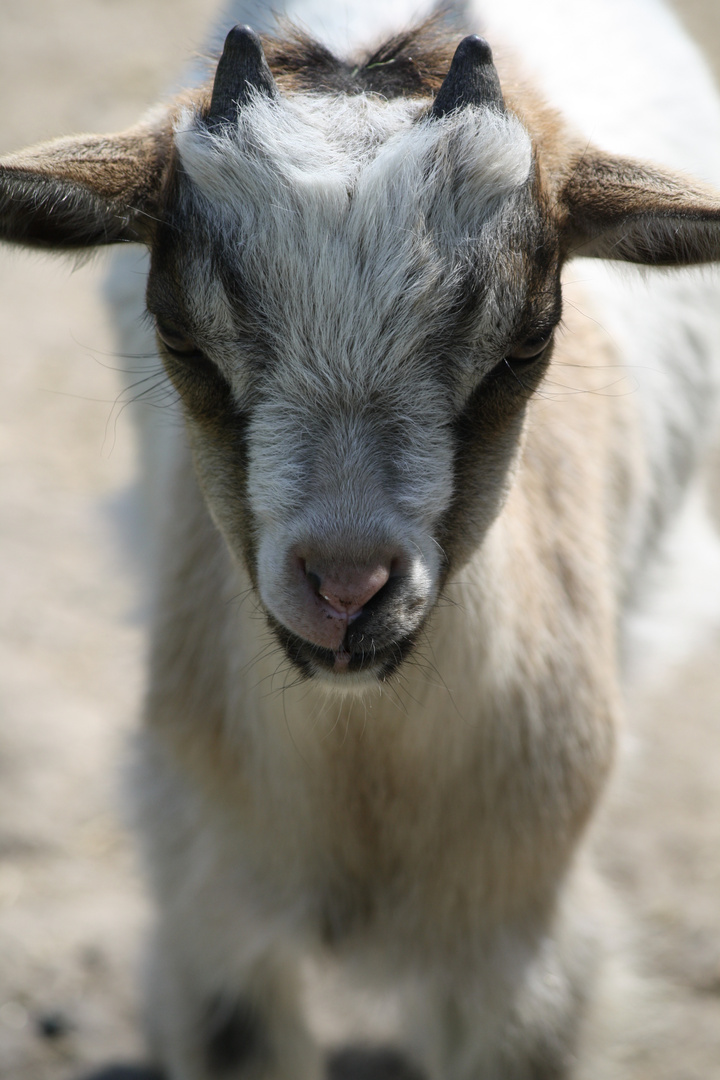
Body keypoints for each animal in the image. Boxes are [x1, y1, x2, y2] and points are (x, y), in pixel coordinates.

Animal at [1, 0, 720, 1075]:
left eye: (526, 343)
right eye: (178, 336)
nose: (345, 589)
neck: (362, 768)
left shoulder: (524, 945)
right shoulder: (214, 919)